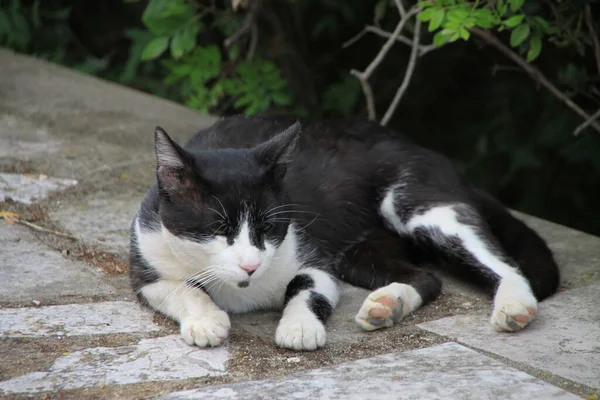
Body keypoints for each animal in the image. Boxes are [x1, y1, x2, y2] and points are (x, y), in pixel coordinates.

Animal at [129, 115, 560, 350]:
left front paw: (299, 327)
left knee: (501, 261)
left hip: (415, 200)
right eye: (219, 228)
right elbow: (180, 288)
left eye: (269, 227)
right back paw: (388, 304)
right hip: (360, 251)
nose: (251, 266)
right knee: (427, 277)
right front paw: (206, 321)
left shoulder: (314, 256)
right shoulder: (144, 263)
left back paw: (514, 305)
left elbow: (306, 286)